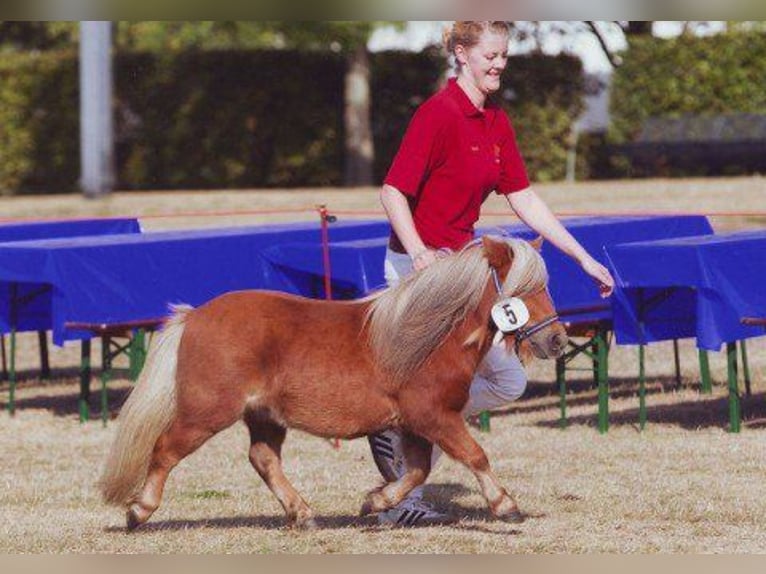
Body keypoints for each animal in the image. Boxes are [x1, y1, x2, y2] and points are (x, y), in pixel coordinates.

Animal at [99, 235, 567, 530]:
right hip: (205, 413)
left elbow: (416, 470)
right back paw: (139, 512)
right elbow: (475, 455)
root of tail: (193, 316)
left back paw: (302, 513)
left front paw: (375, 501)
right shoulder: (433, 416)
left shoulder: (414, 424)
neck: (428, 336)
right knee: (164, 450)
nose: (557, 340)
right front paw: (506, 506)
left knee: (263, 459)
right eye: (525, 289)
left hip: (264, 415)